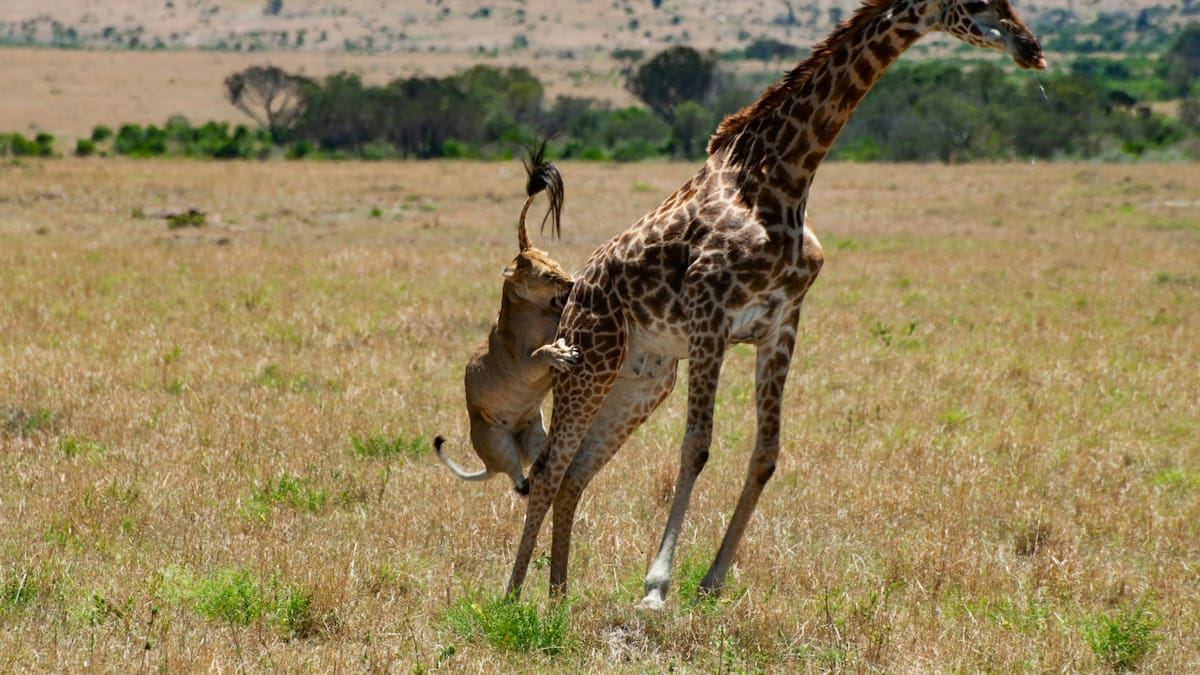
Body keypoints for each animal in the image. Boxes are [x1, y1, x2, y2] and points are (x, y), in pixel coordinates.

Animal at [434, 148, 577, 495]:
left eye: (557, 264)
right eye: (549, 276)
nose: (572, 281)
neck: (538, 311)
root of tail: (488, 465)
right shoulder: (523, 366)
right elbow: (539, 353)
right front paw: (559, 353)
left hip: (535, 432)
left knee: (538, 466)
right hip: (495, 439)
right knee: (518, 481)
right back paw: (525, 483)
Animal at [507, 0, 1045, 608]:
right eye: (979, 4)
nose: (1032, 50)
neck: (784, 180)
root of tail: (575, 293)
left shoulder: (782, 322)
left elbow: (766, 453)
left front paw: (712, 581)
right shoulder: (710, 314)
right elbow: (697, 445)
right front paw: (656, 587)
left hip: (644, 378)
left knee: (576, 473)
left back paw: (559, 596)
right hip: (590, 360)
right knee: (549, 469)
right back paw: (513, 596)